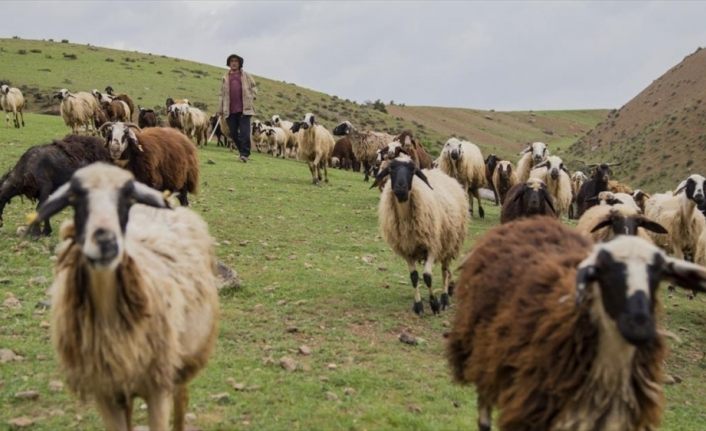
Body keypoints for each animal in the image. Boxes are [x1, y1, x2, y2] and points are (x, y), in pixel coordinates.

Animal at [368, 156, 468, 318]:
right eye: (391, 169)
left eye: (413, 171)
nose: (401, 188)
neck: (405, 219)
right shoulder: (407, 251)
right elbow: (414, 277)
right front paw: (419, 306)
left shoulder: (433, 246)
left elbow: (427, 276)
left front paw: (435, 304)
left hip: (450, 242)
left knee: (444, 271)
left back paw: (445, 299)